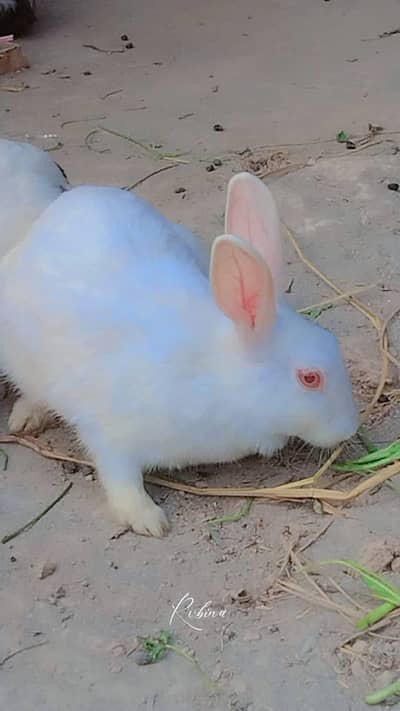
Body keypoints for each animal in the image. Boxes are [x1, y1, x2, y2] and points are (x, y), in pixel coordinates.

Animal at [0, 172, 359, 536]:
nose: (350, 428)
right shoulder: (111, 434)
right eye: (310, 378)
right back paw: (25, 418)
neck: (221, 375)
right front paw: (149, 521)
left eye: (334, 342)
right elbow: (121, 478)